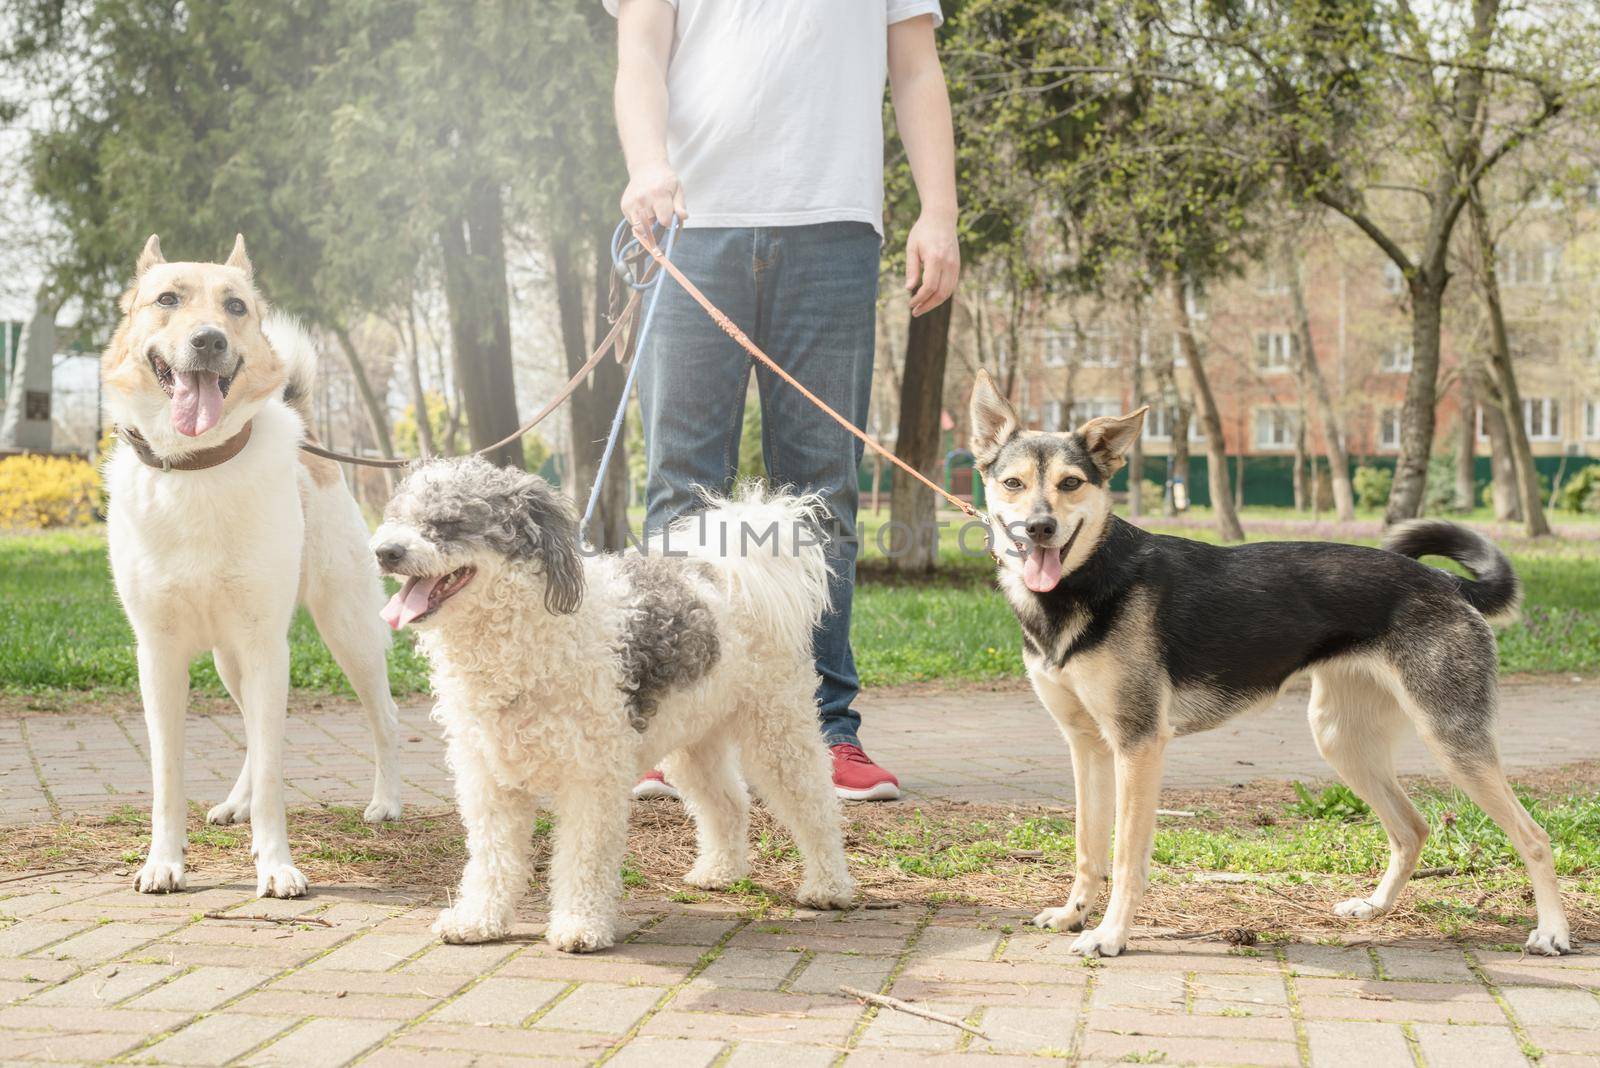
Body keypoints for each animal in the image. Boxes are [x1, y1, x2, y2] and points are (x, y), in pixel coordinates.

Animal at [103, 238, 403, 895]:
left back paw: (386, 800)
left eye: (235, 306)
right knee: (248, 730)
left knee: (384, 716)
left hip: (347, 633)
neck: (197, 466)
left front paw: (276, 865)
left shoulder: (268, 646)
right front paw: (163, 860)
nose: (210, 340)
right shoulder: (158, 654)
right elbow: (168, 776)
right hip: (229, 659)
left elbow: (271, 771)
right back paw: (234, 804)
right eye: (168, 299)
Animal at [369, 460, 857, 952]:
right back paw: (719, 872)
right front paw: (478, 919)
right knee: (729, 802)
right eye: (398, 517)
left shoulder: (591, 777)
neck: (526, 641)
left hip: (777, 729)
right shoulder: (489, 777)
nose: (385, 551)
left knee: (815, 806)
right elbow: (492, 857)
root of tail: (726, 570)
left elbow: (583, 856)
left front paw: (580, 925)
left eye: (449, 522)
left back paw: (829, 886)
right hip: (694, 739)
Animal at [966, 369, 1568, 959]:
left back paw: (1553, 933)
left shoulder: (1137, 745)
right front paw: (1074, 914)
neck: (1084, 581)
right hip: (1341, 739)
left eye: (1070, 484)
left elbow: (1125, 856)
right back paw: (1374, 908)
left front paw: (1110, 935)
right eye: (1013, 484)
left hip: (1451, 741)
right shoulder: (1087, 744)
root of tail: (1446, 582)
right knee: (1412, 828)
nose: (1039, 528)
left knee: (1534, 836)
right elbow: (1088, 847)